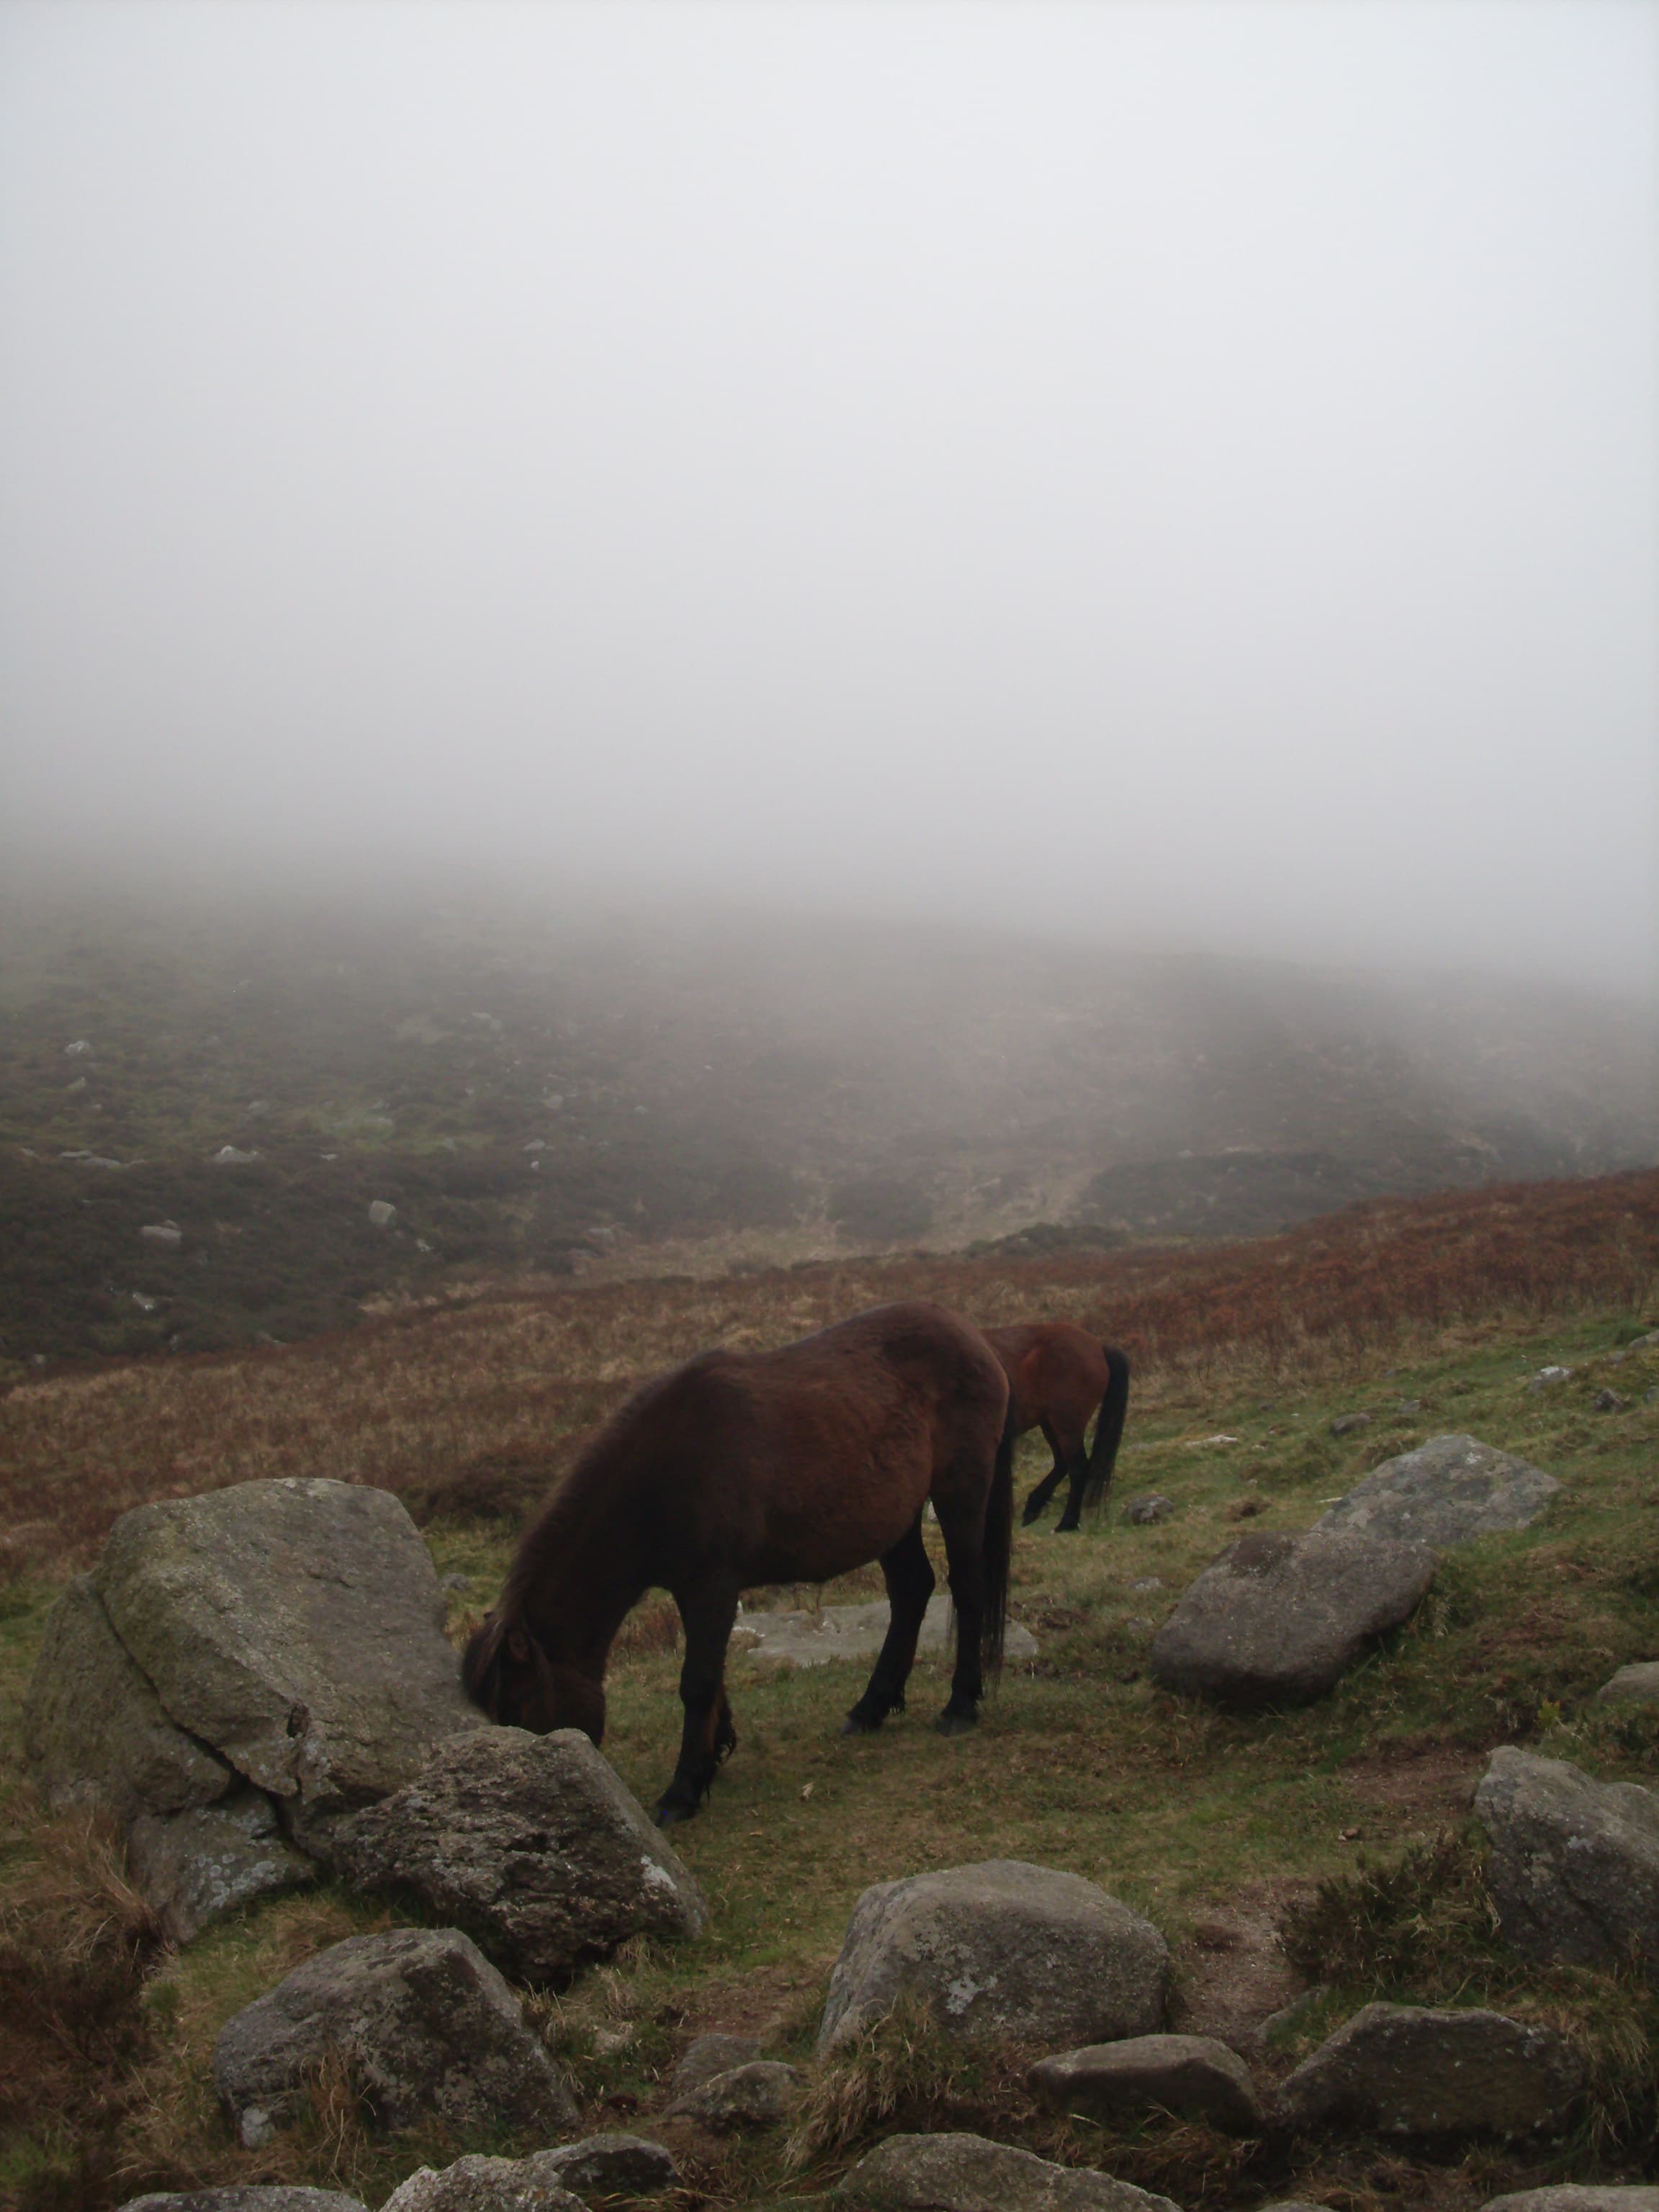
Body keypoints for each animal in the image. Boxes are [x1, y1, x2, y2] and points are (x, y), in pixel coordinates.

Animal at [462, 1300, 1014, 1825]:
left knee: (967, 1590)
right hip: (895, 1519)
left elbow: (697, 1682)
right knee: (911, 1591)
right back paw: (870, 1707)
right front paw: (715, 1751)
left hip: (960, 1492)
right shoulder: (695, 1591)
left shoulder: (713, 1586)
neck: (662, 1471)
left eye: (522, 1705)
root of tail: (975, 1338)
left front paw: (683, 1790)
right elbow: (712, 1675)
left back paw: (960, 1705)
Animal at [982, 1322, 1131, 1532]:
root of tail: (1099, 1347)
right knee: (1062, 1464)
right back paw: (1035, 1505)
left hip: (1067, 1425)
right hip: (1050, 1424)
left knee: (1078, 1467)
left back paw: (1067, 1521)